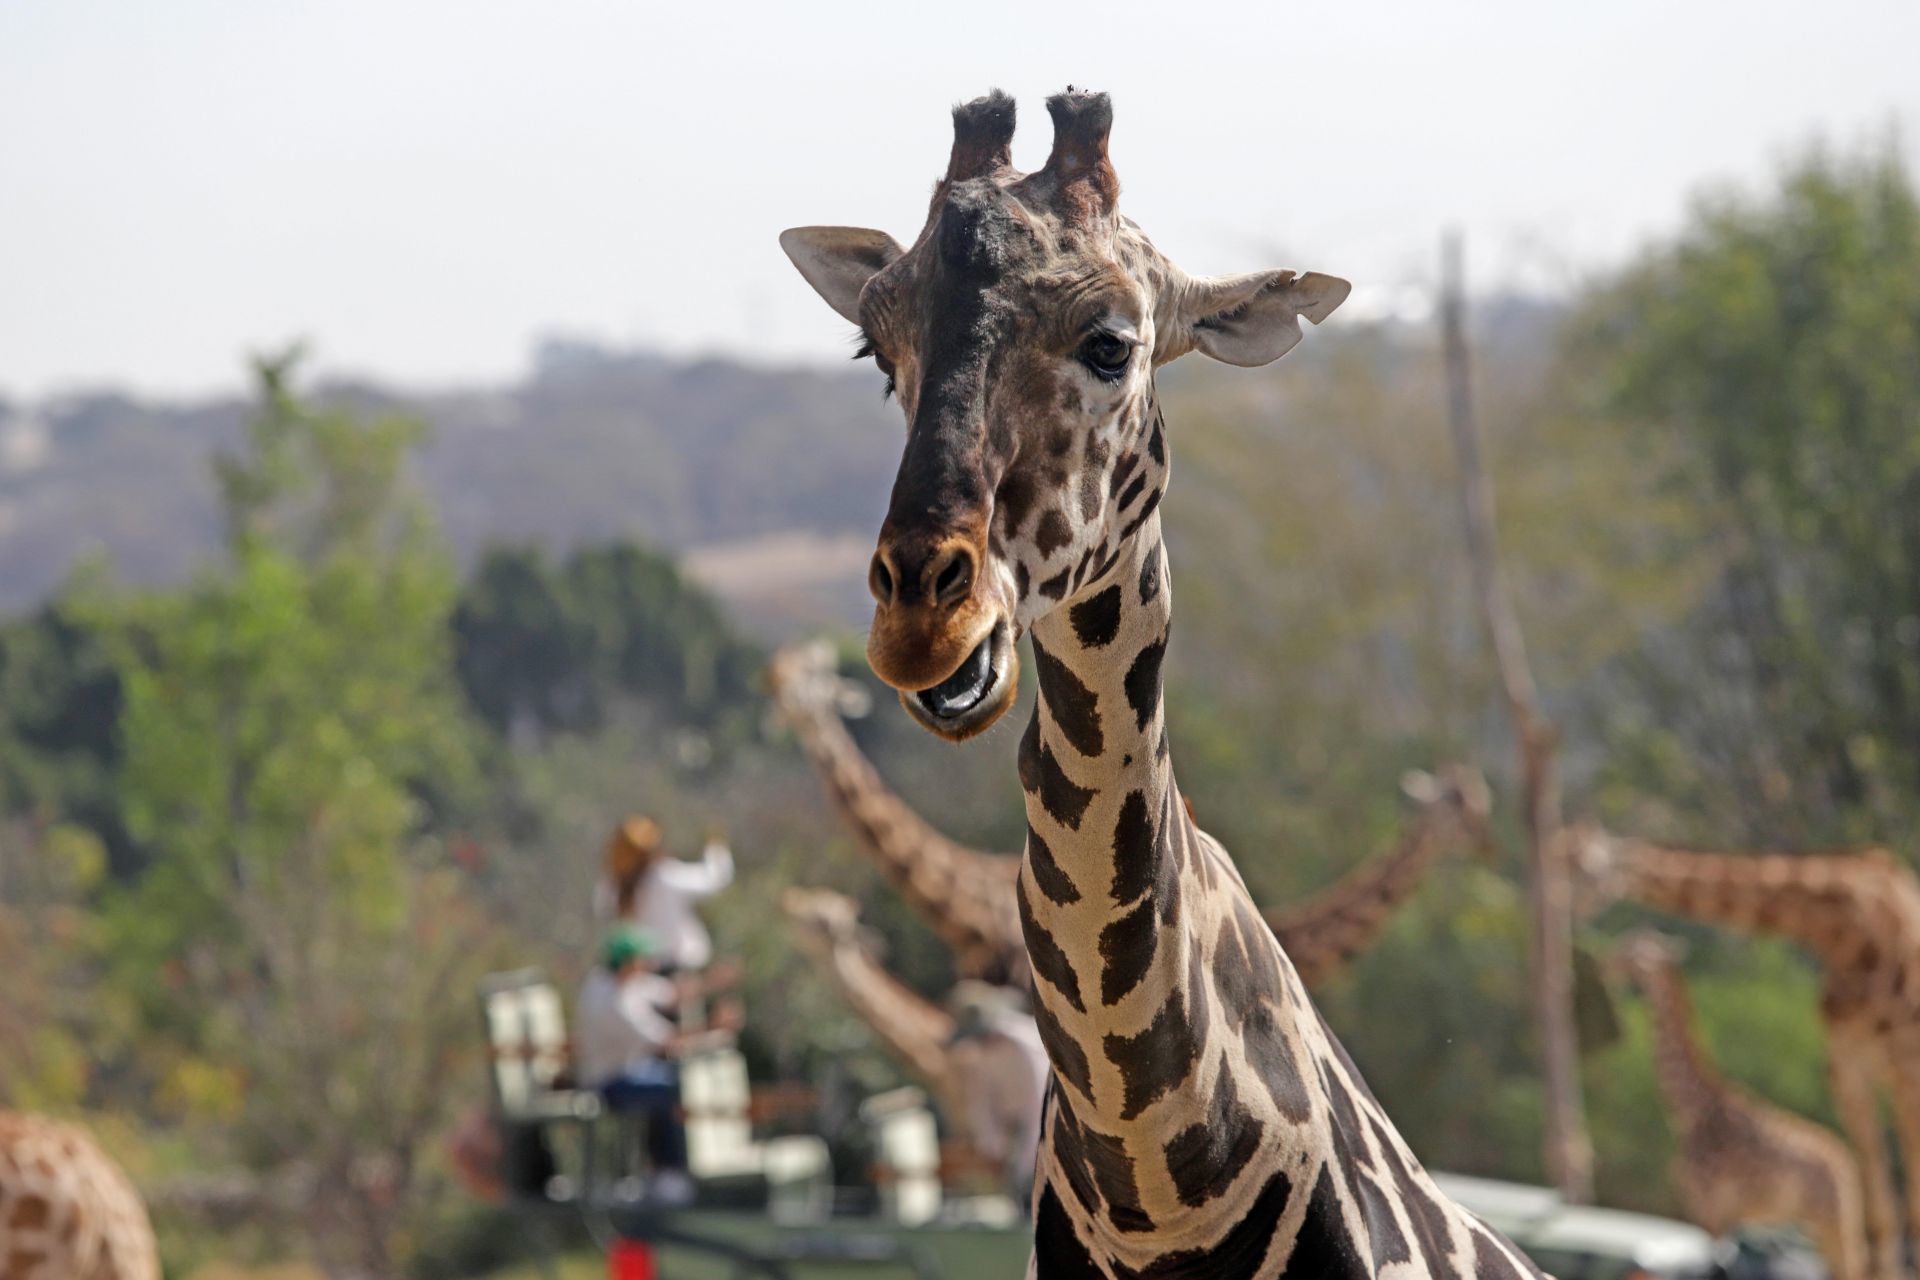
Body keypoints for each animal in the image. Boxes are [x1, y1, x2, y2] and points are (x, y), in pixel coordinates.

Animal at [1612, 932, 1866, 1280]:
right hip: (1820, 1222)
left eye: (1633, 952)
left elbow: (1715, 1266)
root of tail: (1846, 1164)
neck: (1690, 1112)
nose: (1608, 962)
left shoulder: (1710, 1205)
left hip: (1832, 1220)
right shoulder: (1712, 1210)